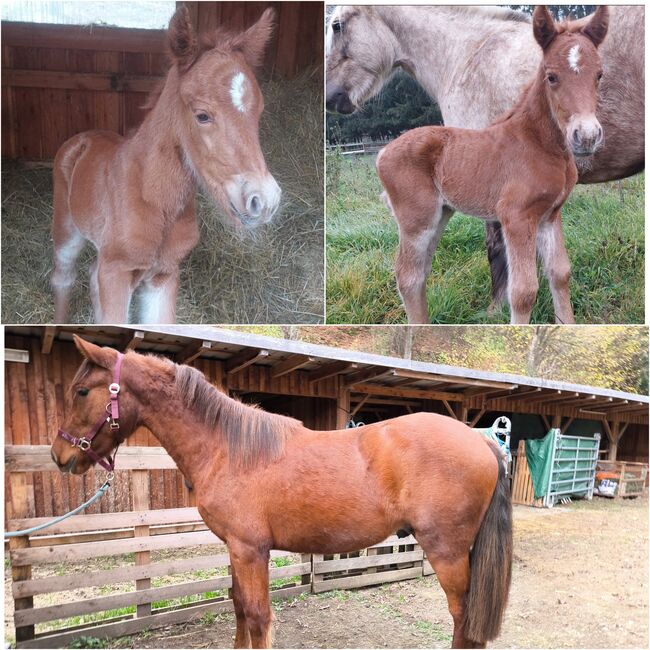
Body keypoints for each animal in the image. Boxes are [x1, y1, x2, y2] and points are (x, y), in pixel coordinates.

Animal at [52, 7, 280, 322]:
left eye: (259, 112)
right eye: (202, 115)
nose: (265, 200)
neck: (155, 200)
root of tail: (84, 137)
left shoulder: (164, 274)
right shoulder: (116, 271)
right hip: (67, 229)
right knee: (64, 276)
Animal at [326, 5, 640, 314]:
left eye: (337, 25)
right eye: (551, 76)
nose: (586, 136)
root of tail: (382, 151)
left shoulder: (545, 214)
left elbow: (553, 273)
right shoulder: (514, 213)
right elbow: (520, 283)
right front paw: (497, 311)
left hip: (437, 214)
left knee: (417, 274)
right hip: (421, 218)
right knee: (410, 276)